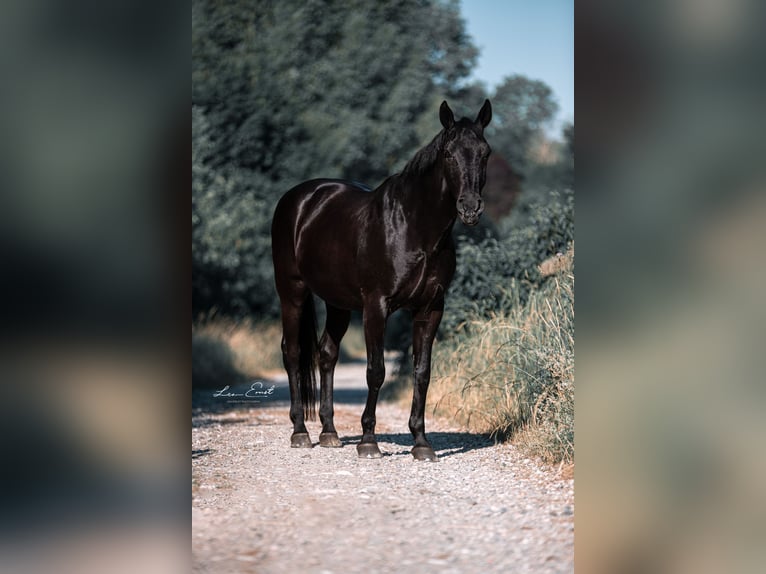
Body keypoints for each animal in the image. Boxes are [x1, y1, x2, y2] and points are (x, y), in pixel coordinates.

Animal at [272, 100, 496, 464]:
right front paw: (368, 441)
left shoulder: (431, 308)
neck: (413, 227)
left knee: (326, 353)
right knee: (292, 352)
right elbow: (375, 371)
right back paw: (300, 433)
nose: (470, 208)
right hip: (291, 291)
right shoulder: (376, 306)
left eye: (485, 152)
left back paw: (329, 432)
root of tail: (301, 198)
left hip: (337, 303)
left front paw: (421, 443)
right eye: (448, 153)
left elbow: (422, 372)